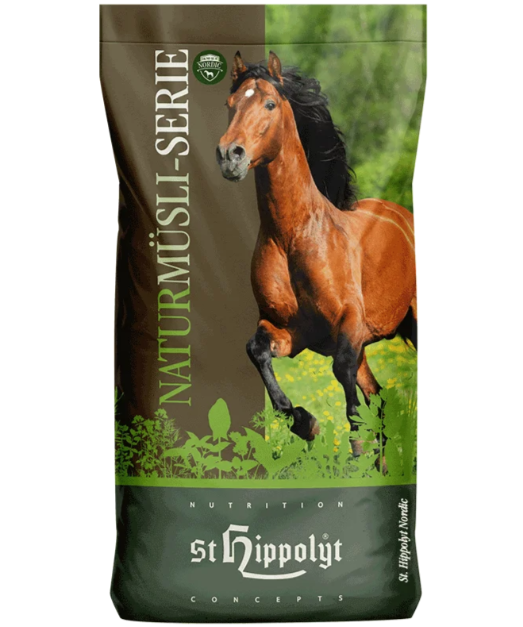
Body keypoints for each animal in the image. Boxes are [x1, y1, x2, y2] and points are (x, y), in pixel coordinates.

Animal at [216, 51, 417, 449]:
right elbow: (256, 351)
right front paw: (305, 422)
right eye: (231, 104)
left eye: (269, 103)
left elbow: (350, 402)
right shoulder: (291, 332)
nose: (230, 155)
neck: (294, 237)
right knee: (379, 399)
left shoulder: (349, 326)